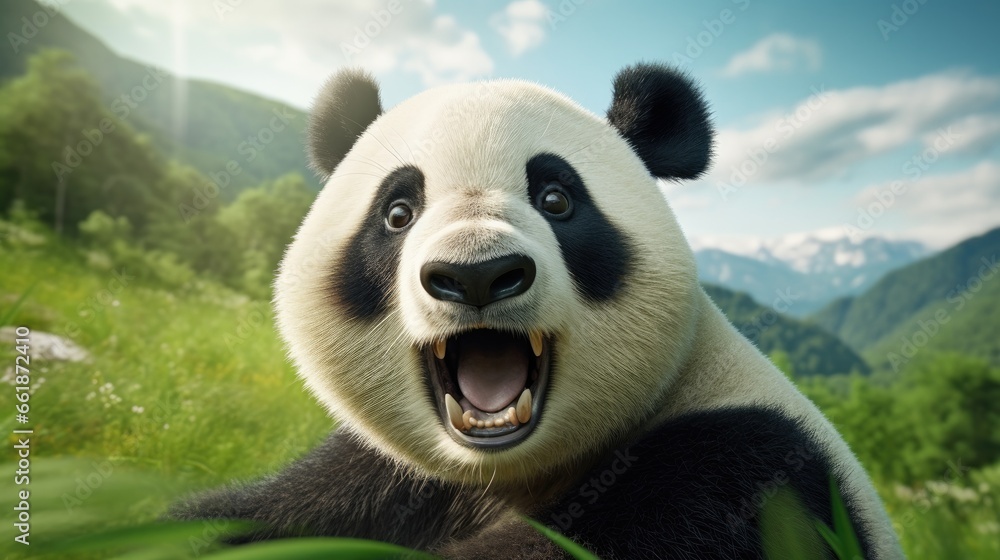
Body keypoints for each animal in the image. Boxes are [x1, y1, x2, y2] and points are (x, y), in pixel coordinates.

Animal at [171, 63, 904, 559]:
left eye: (557, 198)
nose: (476, 274)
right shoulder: (385, 475)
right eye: (397, 211)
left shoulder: (740, 473)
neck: (505, 471)